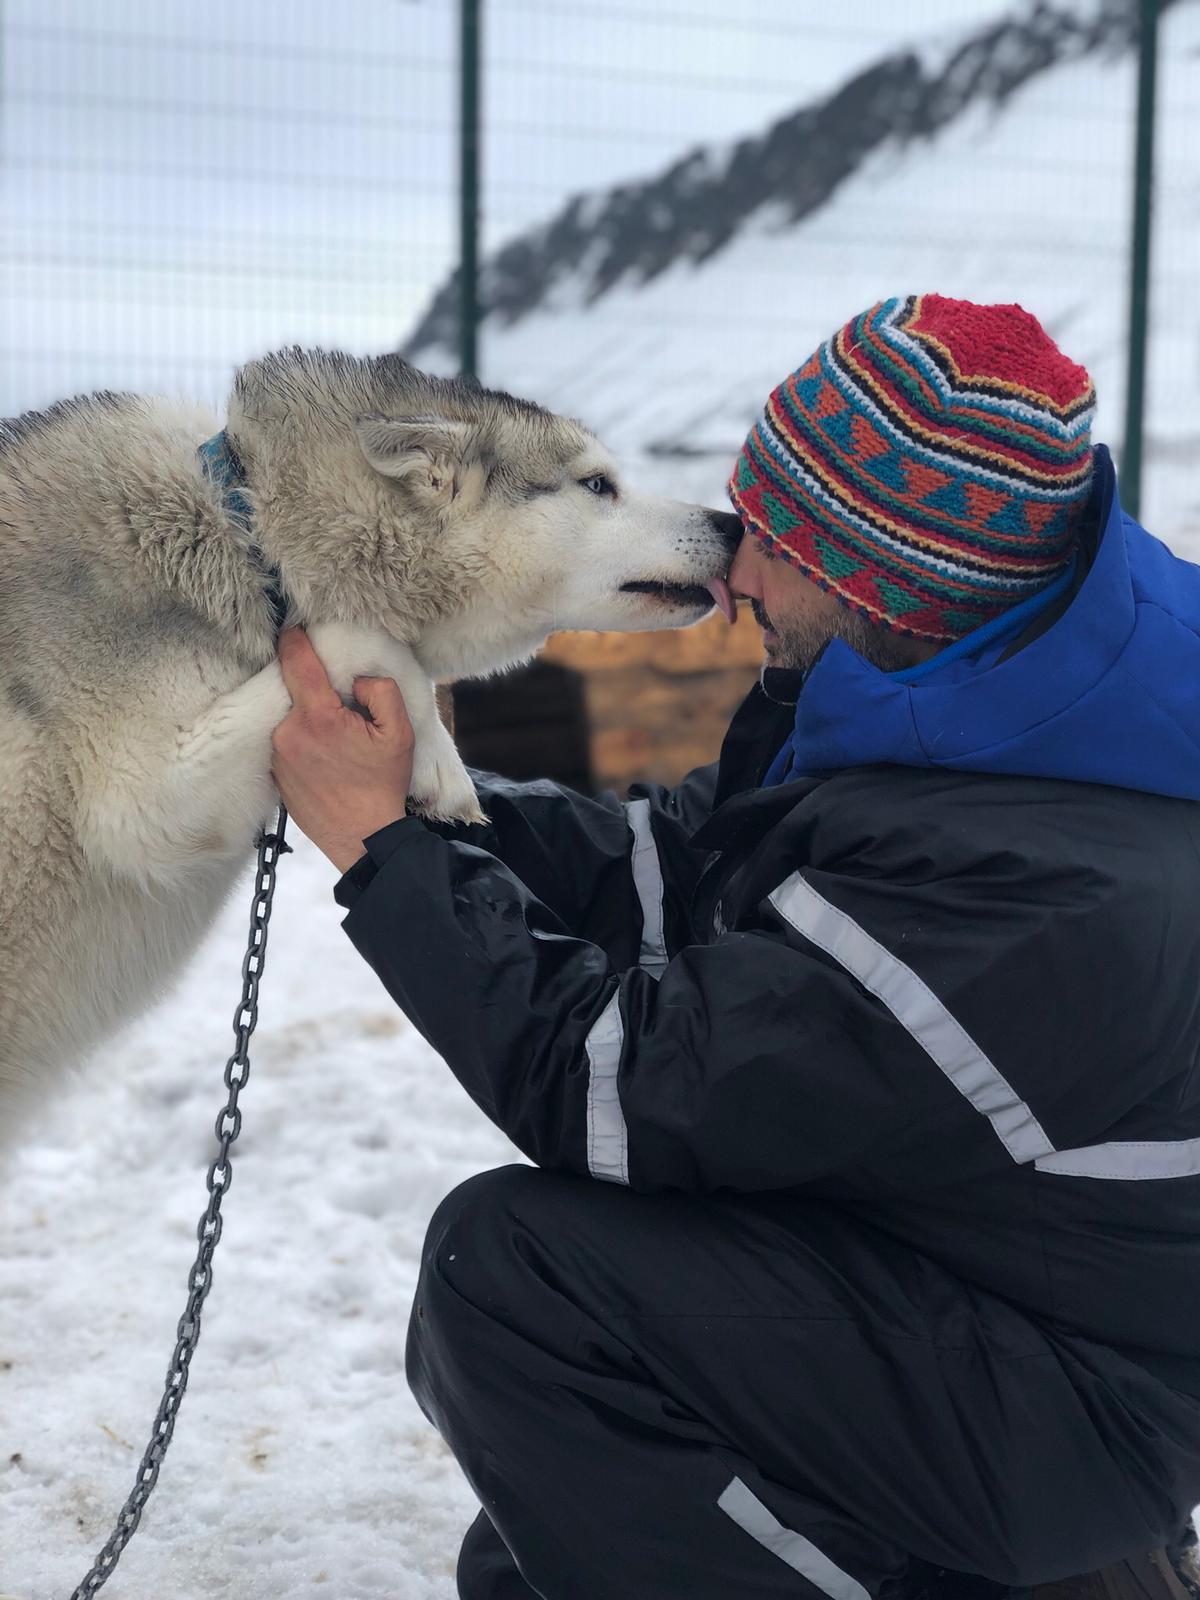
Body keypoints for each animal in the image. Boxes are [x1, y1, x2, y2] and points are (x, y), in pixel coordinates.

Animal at [0, 350, 742, 1126]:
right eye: (599, 485)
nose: (732, 525)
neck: (249, 537)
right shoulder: (139, 797)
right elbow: (365, 638)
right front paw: (439, 767)